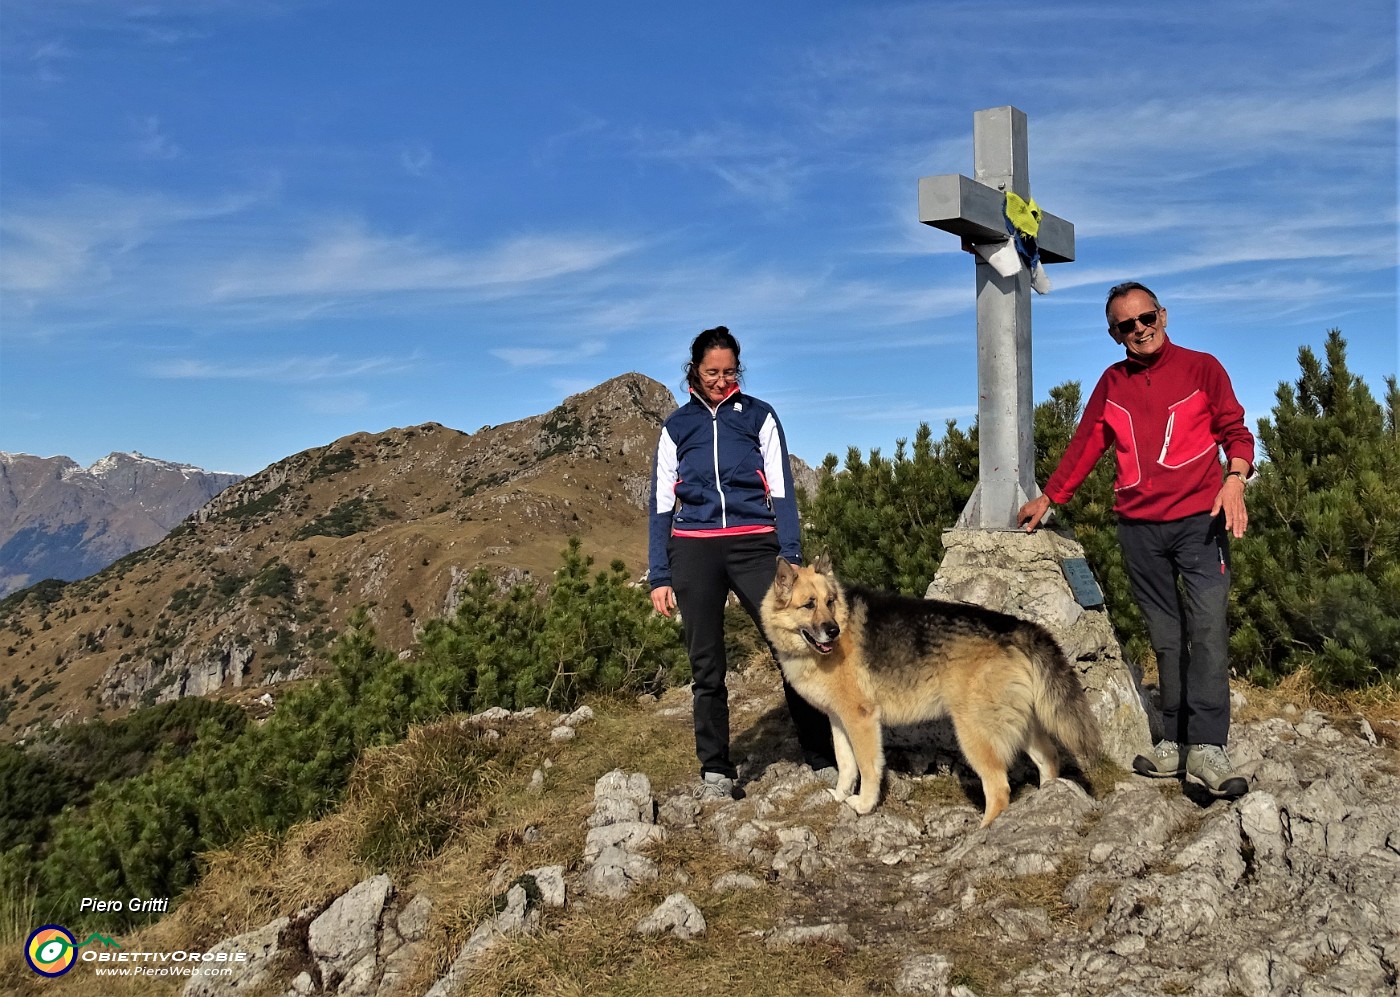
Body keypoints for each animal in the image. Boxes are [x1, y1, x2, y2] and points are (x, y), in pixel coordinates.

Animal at [761, 551, 1097, 823]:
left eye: (830, 602)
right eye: (809, 605)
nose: (832, 631)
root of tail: (1018, 627)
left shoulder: (861, 720)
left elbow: (868, 768)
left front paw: (865, 805)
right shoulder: (839, 720)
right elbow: (846, 766)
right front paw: (841, 796)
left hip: (974, 734)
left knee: (999, 789)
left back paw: (983, 834)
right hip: (1018, 724)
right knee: (1049, 759)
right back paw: (1046, 800)